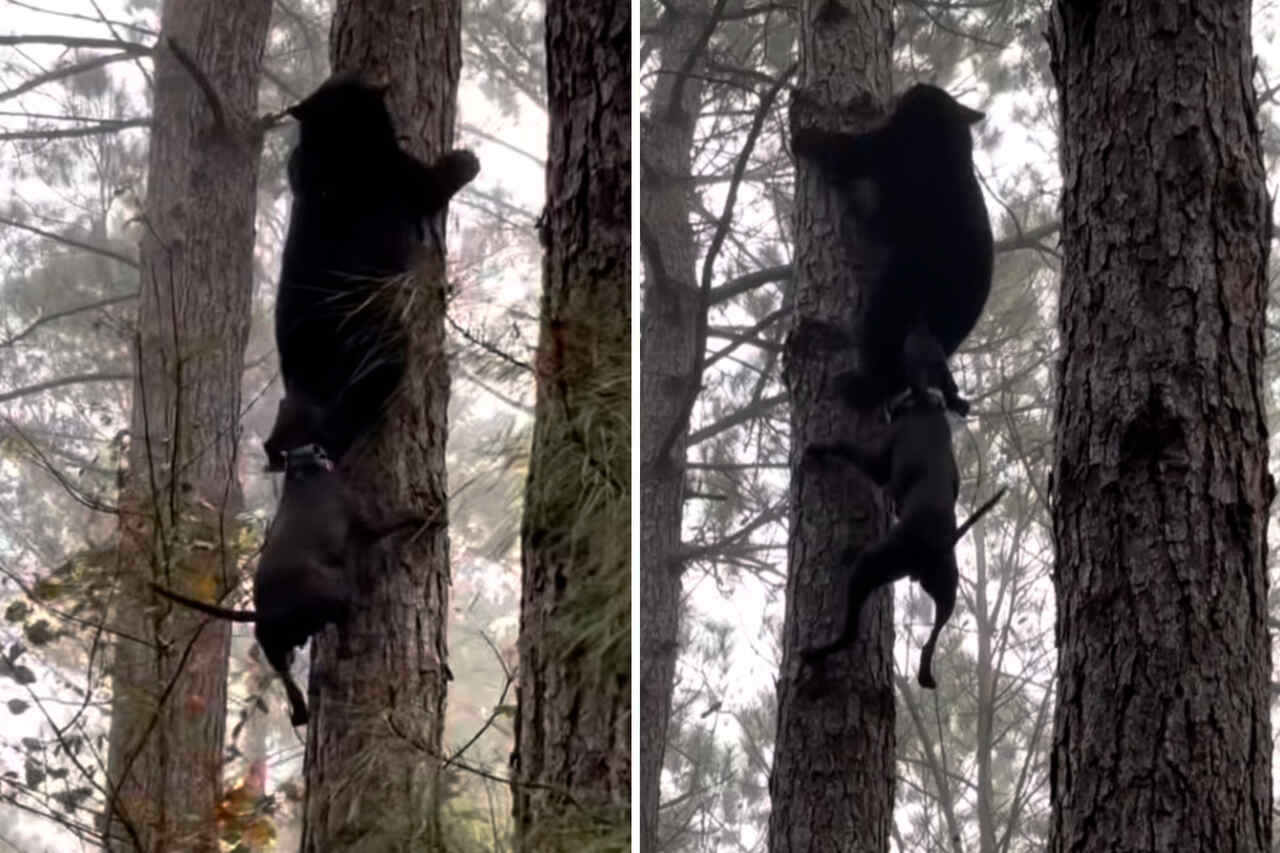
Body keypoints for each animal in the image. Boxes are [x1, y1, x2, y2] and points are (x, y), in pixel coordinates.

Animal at [793, 83, 993, 414]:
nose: (906, 88)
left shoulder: (889, 146)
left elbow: (850, 152)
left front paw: (804, 136)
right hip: (951, 316)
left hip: (899, 287)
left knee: (879, 334)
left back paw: (861, 388)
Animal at [798, 391, 998, 686]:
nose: (888, 403)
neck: (927, 407)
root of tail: (943, 542)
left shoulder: (881, 455)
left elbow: (850, 449)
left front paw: (821, 447)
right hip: (945, 588)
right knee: (935, 632)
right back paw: (925, 671)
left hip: (873, 564)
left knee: (851, 631)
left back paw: (819, 651)